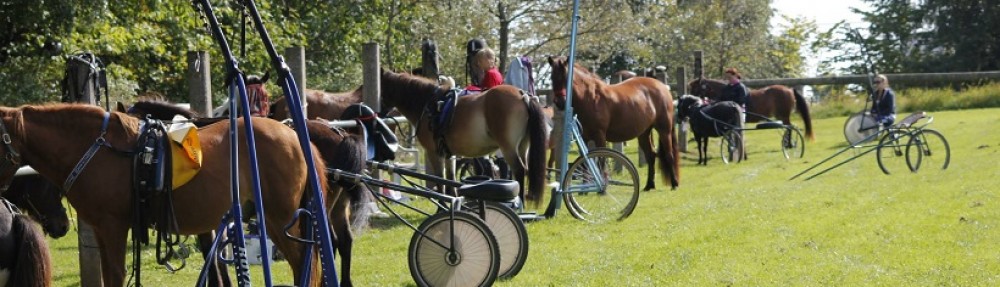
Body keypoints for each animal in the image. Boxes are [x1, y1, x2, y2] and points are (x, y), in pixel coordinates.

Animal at [0, 104, 336, 286]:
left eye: (43, 185)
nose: (60, 225)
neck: (97, 148)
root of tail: (295, 136)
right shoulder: (101, 230)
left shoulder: (113, 226)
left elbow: (116, 274)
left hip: (280, 221)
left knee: (305, 265)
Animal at [376, 70, 548, 205]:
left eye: (381, 88)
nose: (378, 113)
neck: (428, 105)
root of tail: (523, 95)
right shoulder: (448, 154)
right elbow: (450, 179)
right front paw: (452, 200)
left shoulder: (434, 153)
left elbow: (440, 179)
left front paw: (441, 205)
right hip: (523, 146)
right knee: (526, 170)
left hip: (508, 148)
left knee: (519, 170)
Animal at [548, 56, 680, 191]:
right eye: (552, 77)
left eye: (566, 77)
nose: (559, 102)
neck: (590, 98)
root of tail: (661, 86)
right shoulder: (584, 138)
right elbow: (586, 162)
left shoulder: (600, 136)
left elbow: (601, 161)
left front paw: (602, 187)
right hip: (643, 134)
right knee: (651, 156)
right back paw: (649, 185)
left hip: (664, 130)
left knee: (669, 155)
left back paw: (674, 184)